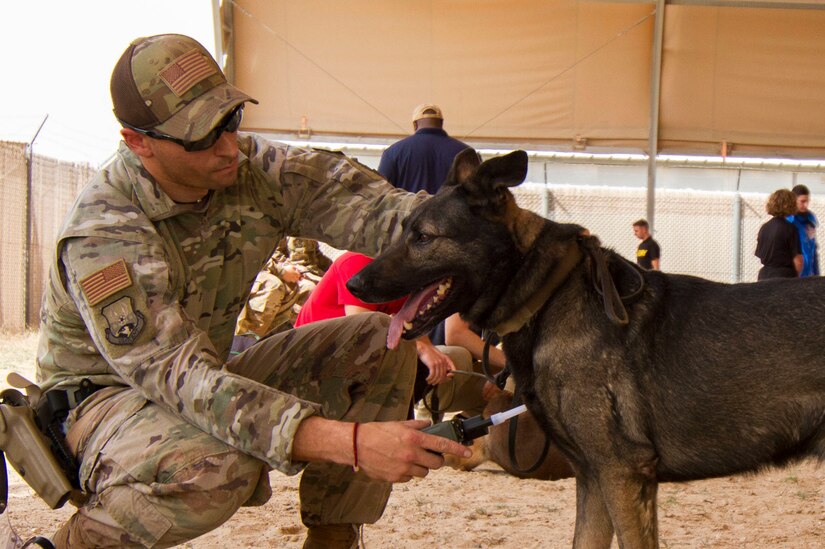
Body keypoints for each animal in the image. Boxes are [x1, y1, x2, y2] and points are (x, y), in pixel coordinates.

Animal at [346, 149, 824, 548]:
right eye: (402, 230)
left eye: (424, 237)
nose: (354, 284)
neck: (547, 298)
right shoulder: (593, 480)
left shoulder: (621, 474)